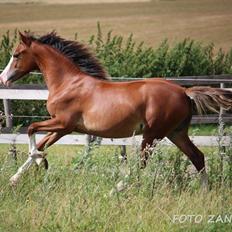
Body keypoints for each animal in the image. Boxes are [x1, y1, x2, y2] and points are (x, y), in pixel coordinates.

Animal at [0, 31, 231, 188]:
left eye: (17, 54)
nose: (3, 78)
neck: (67, 83)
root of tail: (184, 91)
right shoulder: (63, 128)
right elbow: (39, 143)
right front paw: (16, 177)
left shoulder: (63, 123)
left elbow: (31, 128)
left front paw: (41, 160)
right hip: (176, 132)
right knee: (197, 157)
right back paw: (205, 191)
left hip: (153, 134)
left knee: (142, 162)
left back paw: (117, 189)